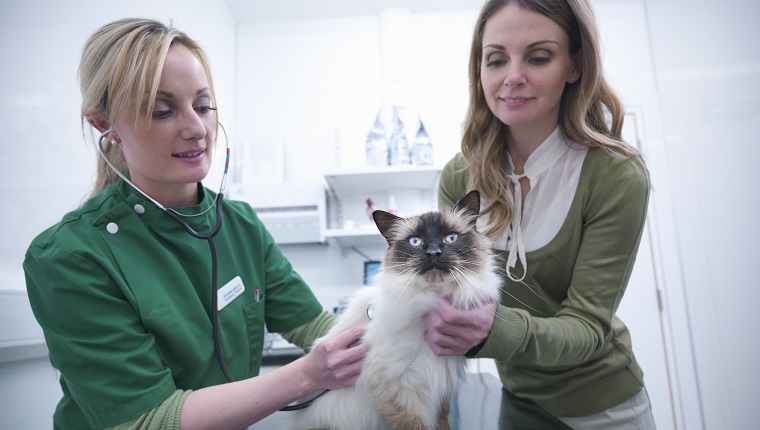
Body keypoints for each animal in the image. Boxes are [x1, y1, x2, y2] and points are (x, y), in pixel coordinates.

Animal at [294, 191, 502, 430]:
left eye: (451, 238)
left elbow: (442, 421)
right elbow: (417, 425)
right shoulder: (399, 388)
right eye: (415, 241)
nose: (434, 253)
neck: (432, 300)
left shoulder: (440, 388)